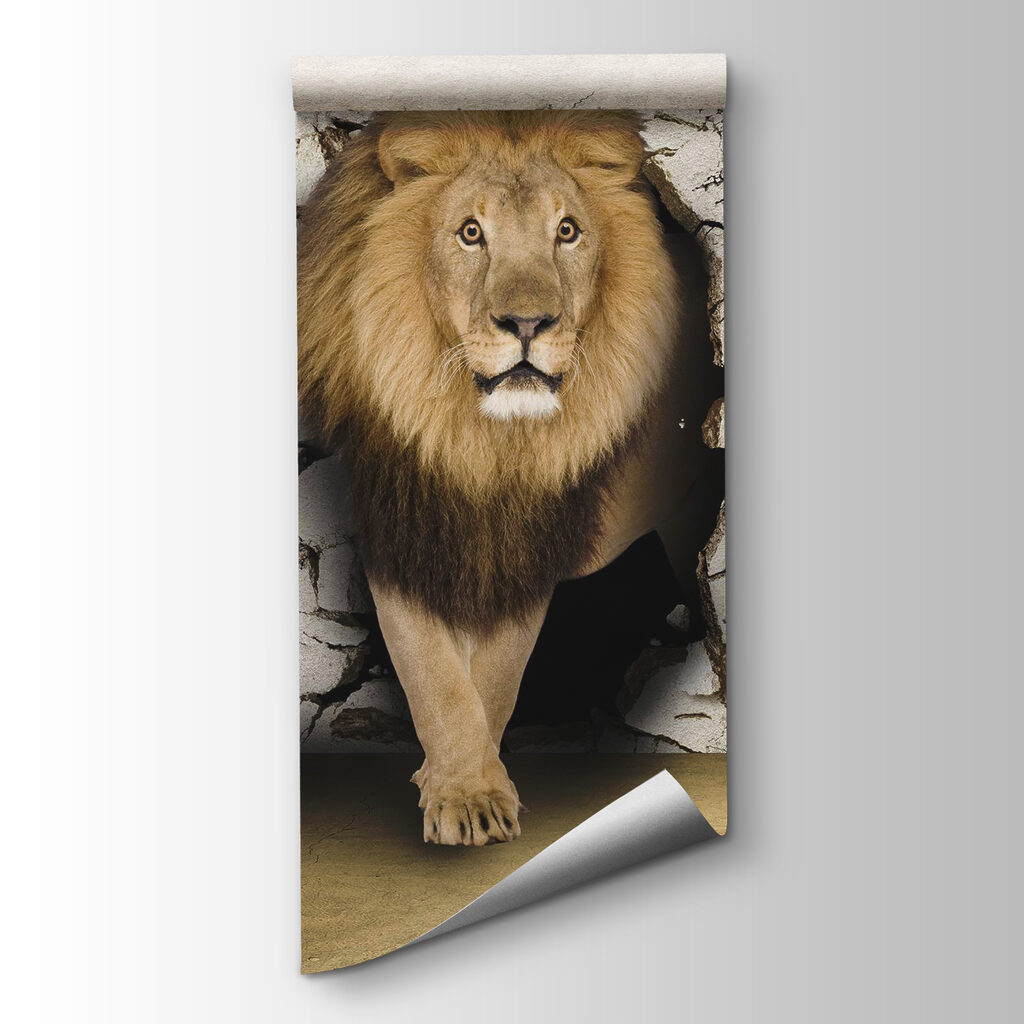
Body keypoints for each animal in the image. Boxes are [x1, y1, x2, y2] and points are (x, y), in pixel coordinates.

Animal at [298, 110, 712, 846]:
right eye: (471, 232)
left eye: (567, 231)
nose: (527, 323)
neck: (481, 440)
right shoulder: (403, 528)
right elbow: (433, 674)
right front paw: (458, 790)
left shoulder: (525, 546)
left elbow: (494, 676)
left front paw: (472, 794)